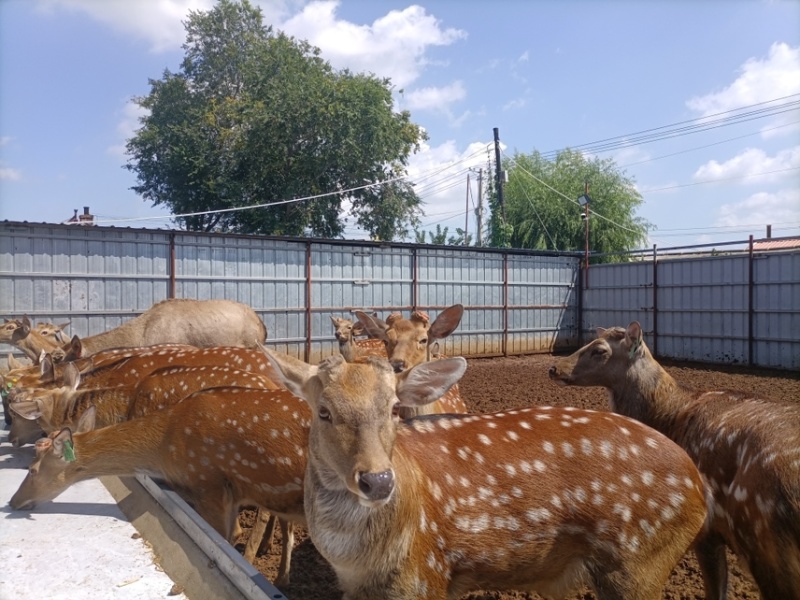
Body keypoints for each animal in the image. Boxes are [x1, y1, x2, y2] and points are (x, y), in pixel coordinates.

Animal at [10, 385, 309, 588]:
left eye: (32, 470)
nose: (13, 501)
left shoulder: (207, 483)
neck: (165, 449)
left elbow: (229, 536)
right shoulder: (229, 493)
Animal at [262, 350, 709, 600]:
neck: (359, 563)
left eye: (392, 407)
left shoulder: (426, 575)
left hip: (641, 560)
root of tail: (698, 486)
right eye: (323, 411)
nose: (378, 481)